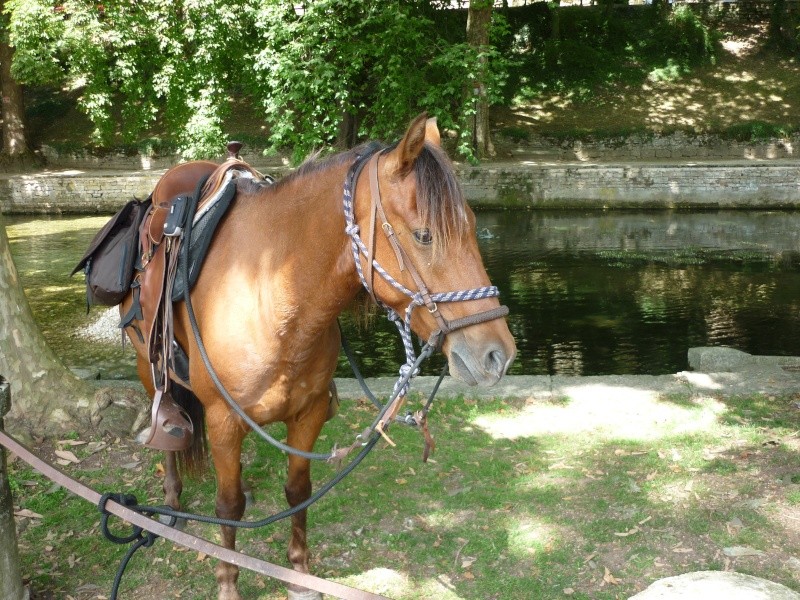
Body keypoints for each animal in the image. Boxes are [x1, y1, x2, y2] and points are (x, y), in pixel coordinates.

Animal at [121, 113, 516, 600]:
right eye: (425, 235)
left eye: (474, 227)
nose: (498, 355)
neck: (272, 293)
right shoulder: (223, 418)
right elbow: (228, 506)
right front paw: (229, 581)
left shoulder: (306, 413)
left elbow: (297, 491)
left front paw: (299, 575)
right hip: (148, 367)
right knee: (167, 423)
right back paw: (172, 496)